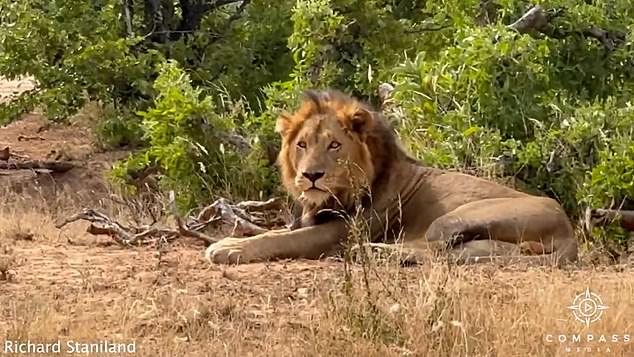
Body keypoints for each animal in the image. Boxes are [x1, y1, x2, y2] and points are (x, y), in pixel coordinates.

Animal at [204, 90, 576, 266]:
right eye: (302, 145)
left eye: (334, 145)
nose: (311, 176)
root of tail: (569, 233)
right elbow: (276, 231)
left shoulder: (336, 234)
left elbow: (278, 240)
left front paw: (227, 248)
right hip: (481, 243)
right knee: (449, 254)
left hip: (453, 218)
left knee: (434, 251)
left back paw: (373, 252)